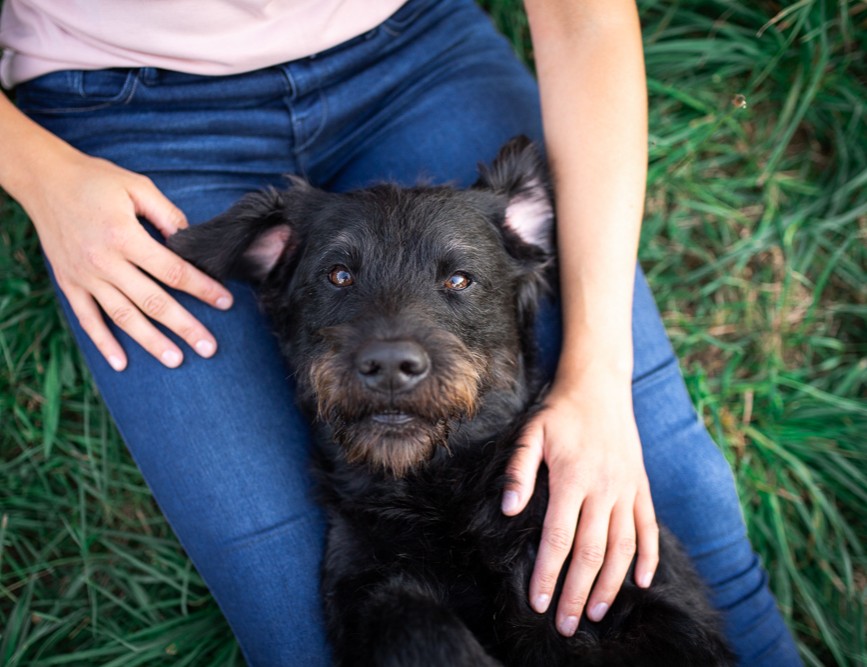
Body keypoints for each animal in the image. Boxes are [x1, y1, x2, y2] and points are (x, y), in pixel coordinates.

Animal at [168, 138, 732, 664]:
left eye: (459, 278)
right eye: (338, 275)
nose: (389, 365)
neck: (440, 495)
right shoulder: (363, 589)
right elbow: (409, 617)